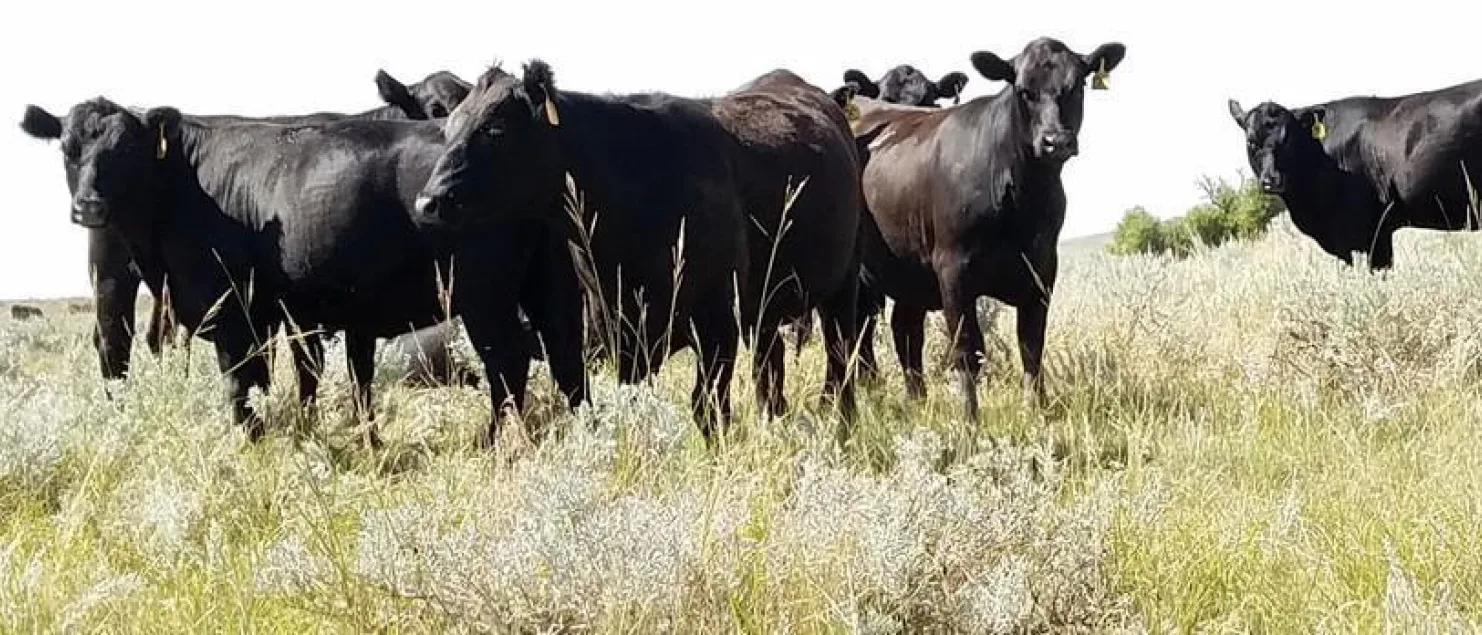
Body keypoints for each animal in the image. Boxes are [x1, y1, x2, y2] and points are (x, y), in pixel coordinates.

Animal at [19, 98, 584, 445]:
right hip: (546, 280)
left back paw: (494, 439)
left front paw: (249, 441)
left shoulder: (235, 314)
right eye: (69, 150)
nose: (89, 206)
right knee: (563, 352)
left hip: (483, 294)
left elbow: (240, 384)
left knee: (507, 360)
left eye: (126, 151)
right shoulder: (279, 315)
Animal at [415, 62, 749, 439]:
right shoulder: (619, 328)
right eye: (447, 130)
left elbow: (709, 407)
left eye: (495, 129)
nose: (427, 202)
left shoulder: (720, 320)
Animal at [843, 37, 1125, 422]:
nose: (1055, 141)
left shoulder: (1041, 271)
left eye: (1076, 86)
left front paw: (1035, 412)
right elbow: (967, 350)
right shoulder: (953, 271)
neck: (1020, 196)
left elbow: (1031, 345)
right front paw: (970, 420)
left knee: (905, 330)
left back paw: (917, 400)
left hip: (909, 272)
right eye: (1023, 90)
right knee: (859, 330)